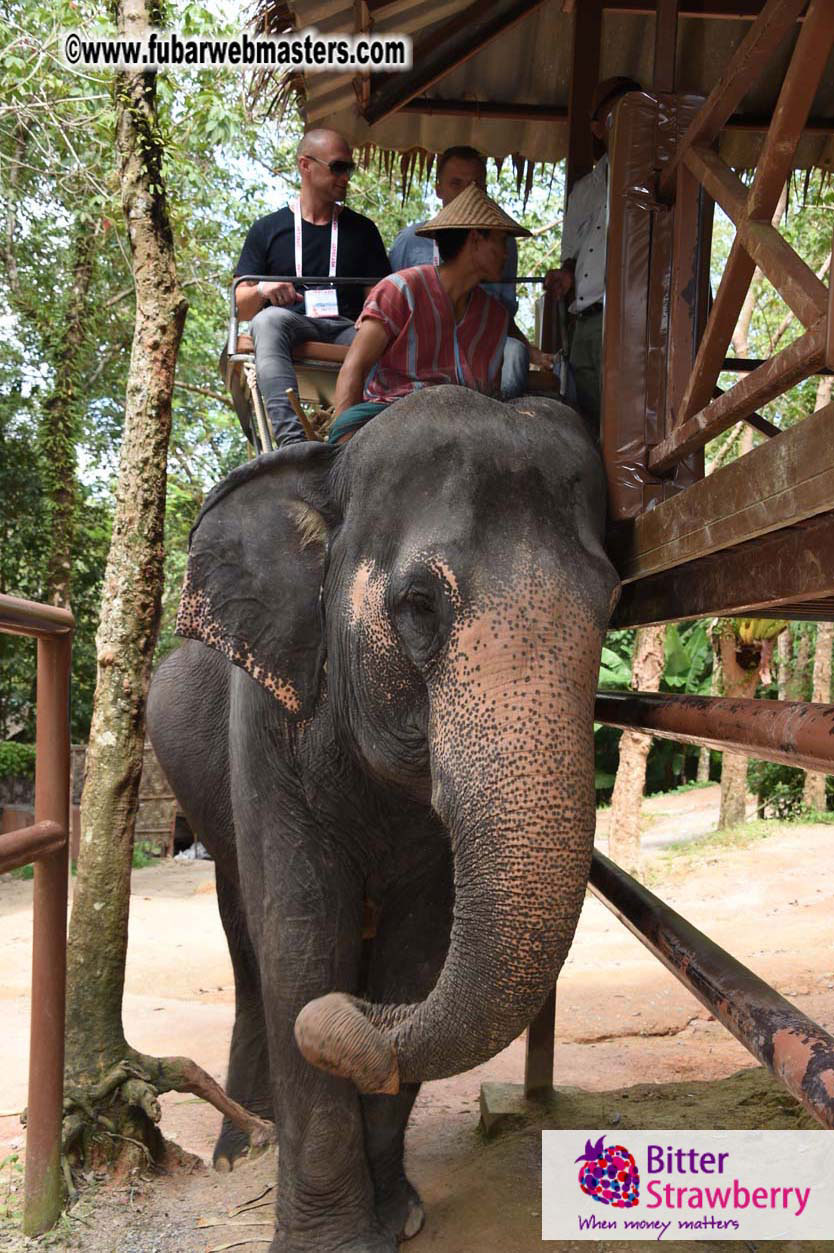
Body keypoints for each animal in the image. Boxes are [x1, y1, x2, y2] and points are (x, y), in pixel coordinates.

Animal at [147, 385, 619, 1253]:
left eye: (611, 602)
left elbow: (415, 948)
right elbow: (301, 938)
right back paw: (241, 1149)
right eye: (418, 606)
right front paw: (331, 1240)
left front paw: (397, 1216)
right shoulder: (266, 722)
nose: (346, 1023)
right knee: (246, 944)